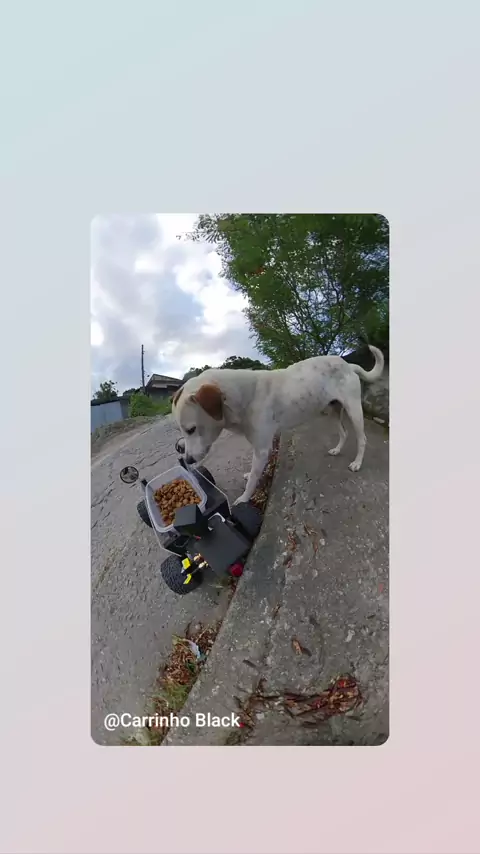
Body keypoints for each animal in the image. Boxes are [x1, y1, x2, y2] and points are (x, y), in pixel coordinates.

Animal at [172, 346, 384, 505]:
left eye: (191, 429)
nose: (187, 459)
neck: (242, 395)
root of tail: (348, 364)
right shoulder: (258, 447)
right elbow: (254, 472)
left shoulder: (262, 449)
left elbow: (253, 481)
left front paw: (243, 499)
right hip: (333, 409)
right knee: (344, 432)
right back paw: (337, 449)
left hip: (354, 409)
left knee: (362, 438)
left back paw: (357, 463)